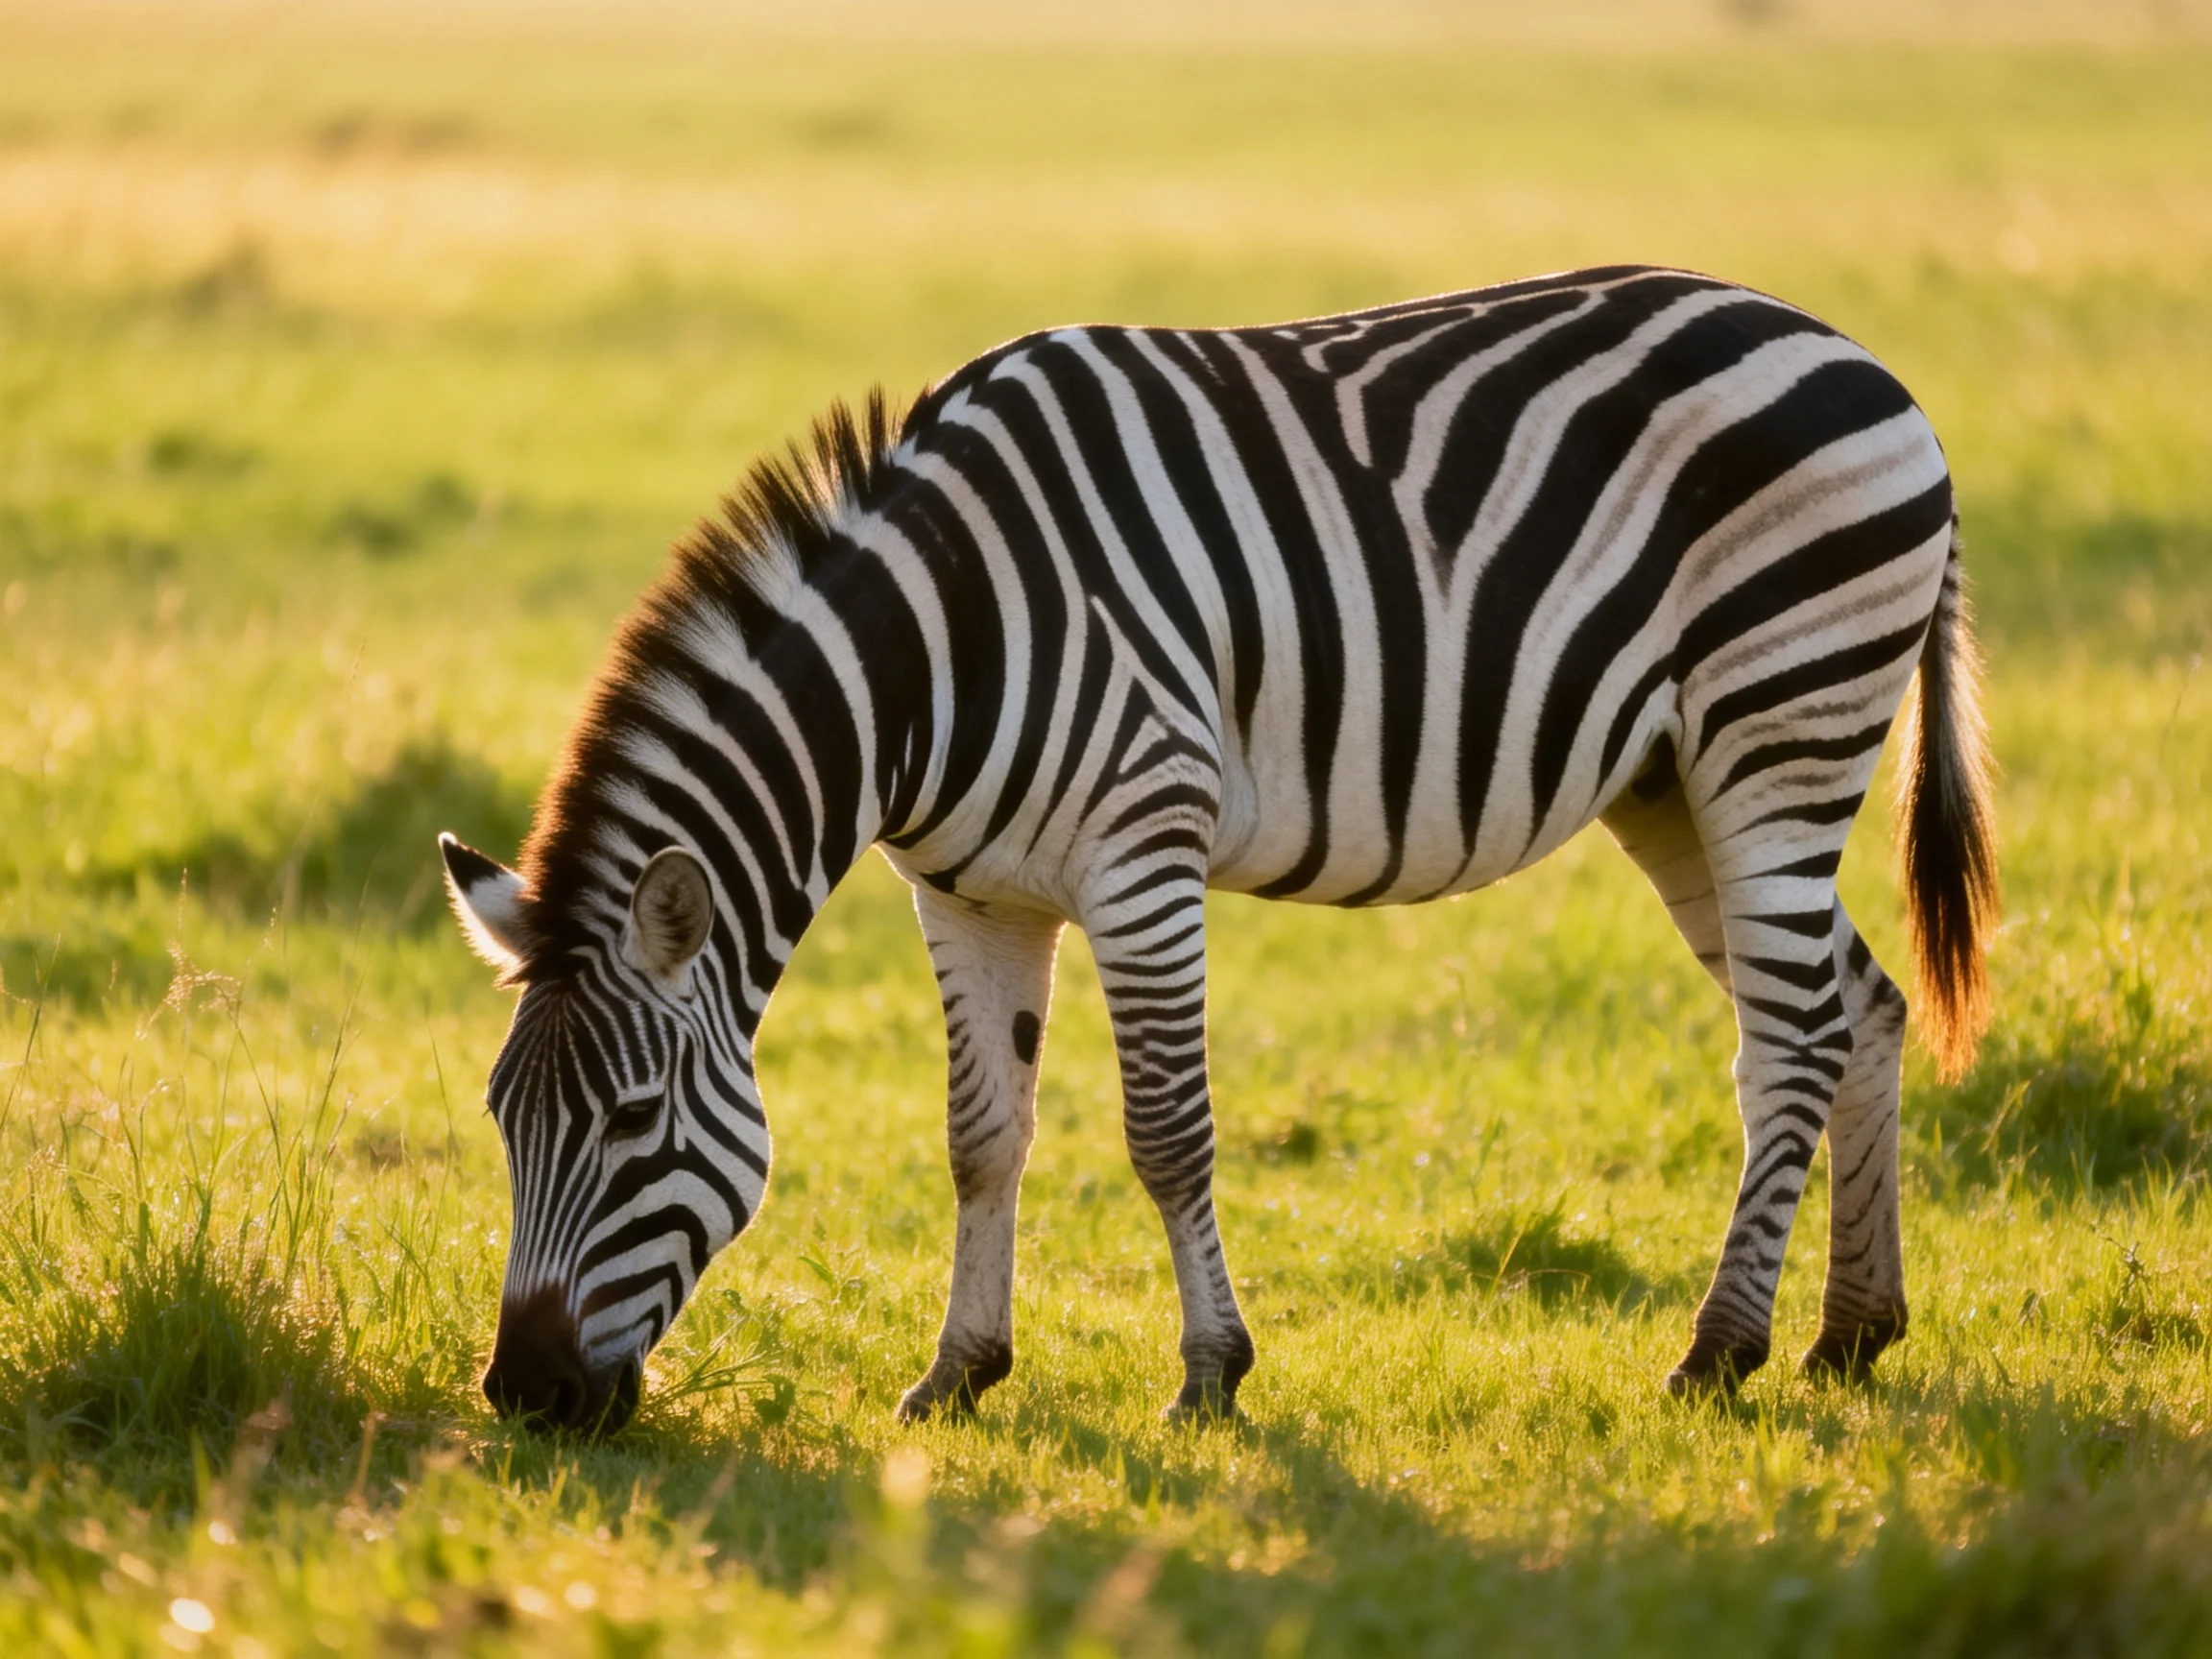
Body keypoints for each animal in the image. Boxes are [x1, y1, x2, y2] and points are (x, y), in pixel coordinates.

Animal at [441, 264, 1997, 1433]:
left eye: (633, 1122)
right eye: (505, 1123)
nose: (522, 1399)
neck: (936, 657)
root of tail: (1865, 360)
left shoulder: (1144, 850)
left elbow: (1166, 1132)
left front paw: (1209, 1378)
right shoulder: (968, 894)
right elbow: (980, 1140)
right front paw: (958, 1375)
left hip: (1778, 728)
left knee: (1792, 1036)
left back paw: (1721, 1351)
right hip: (1678, 784)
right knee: (1859, 1006)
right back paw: (1853, 1333)